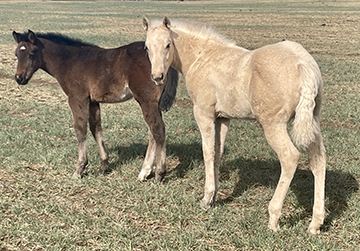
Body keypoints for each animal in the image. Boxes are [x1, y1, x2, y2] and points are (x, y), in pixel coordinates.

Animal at [12, 29, 179, 180]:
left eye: (31, 54)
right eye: (16, 54)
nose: (19, 78)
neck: (69, 61)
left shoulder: (77, 98)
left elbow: (80, 129)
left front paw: (79, 170)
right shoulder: (93, 101)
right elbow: (96, 127)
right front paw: (103, 165)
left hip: (146, 100)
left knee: (158, 130)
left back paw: (159, 173)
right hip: (153, 103)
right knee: (153, 132)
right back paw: (144, 172)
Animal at [143, 16, 326, 234]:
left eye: (168, 45)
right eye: (146, 47)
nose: (157, 77)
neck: (201, 57)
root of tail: (303, 63)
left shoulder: (203, 113)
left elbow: (207, 152)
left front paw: (206, 198)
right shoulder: (222, 118)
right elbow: (218, 152)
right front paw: (214, 197)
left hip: (273, 124)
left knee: (290, 157)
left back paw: (273, 218)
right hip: (312, 121)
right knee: (318, 160)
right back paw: (315, 223)